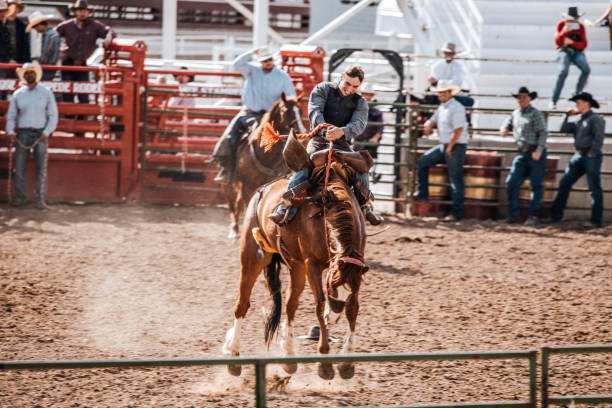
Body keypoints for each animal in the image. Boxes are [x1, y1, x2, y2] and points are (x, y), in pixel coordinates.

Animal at [221, 94, 304, 241]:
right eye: (285, 111)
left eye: (300, 111)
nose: (302, 131)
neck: (267, 157)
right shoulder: (247, 186)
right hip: (229, 184)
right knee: (232, 204)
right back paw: (234, 230)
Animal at [224, 132, 368, 380]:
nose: (335, 312)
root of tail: (263, 190)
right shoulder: (312, 265)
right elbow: (320, 305)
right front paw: (324, 360)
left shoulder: (352, 272)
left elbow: (353, 307)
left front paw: (348, 360)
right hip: (252, 256)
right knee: (242, 303)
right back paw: (233, 353)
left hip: (296, 266)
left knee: (290, 305)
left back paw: (289, 356)